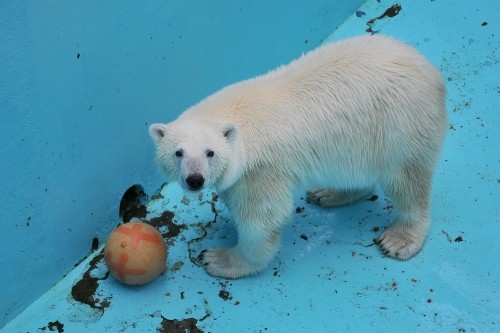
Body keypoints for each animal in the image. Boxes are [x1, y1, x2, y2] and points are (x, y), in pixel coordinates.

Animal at [148, 34, 446, 278]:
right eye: (178, 153)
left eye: (210, 152)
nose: (195, 179)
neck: (237, 114)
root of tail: (432, 72)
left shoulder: (264, 168)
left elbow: (263, 217)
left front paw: (220, 259)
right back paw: (328, 193)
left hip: (399, 123)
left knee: (407, 180)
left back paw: (400, 238)